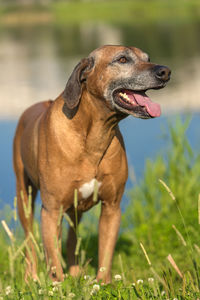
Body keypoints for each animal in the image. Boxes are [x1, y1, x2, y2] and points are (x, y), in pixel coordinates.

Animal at [13, 45, 171, 284]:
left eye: (148, 58)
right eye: (122, 59)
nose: (165, 71)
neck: (93, 136)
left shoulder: (112, 207)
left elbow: (105, 252)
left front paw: (103, 283)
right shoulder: (51, 210)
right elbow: (53, 258)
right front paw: (58, 285)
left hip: (75, 209)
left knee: (71, 239)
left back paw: (75, 272)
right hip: (25, 197)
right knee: (30, 240)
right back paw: (31, 277)